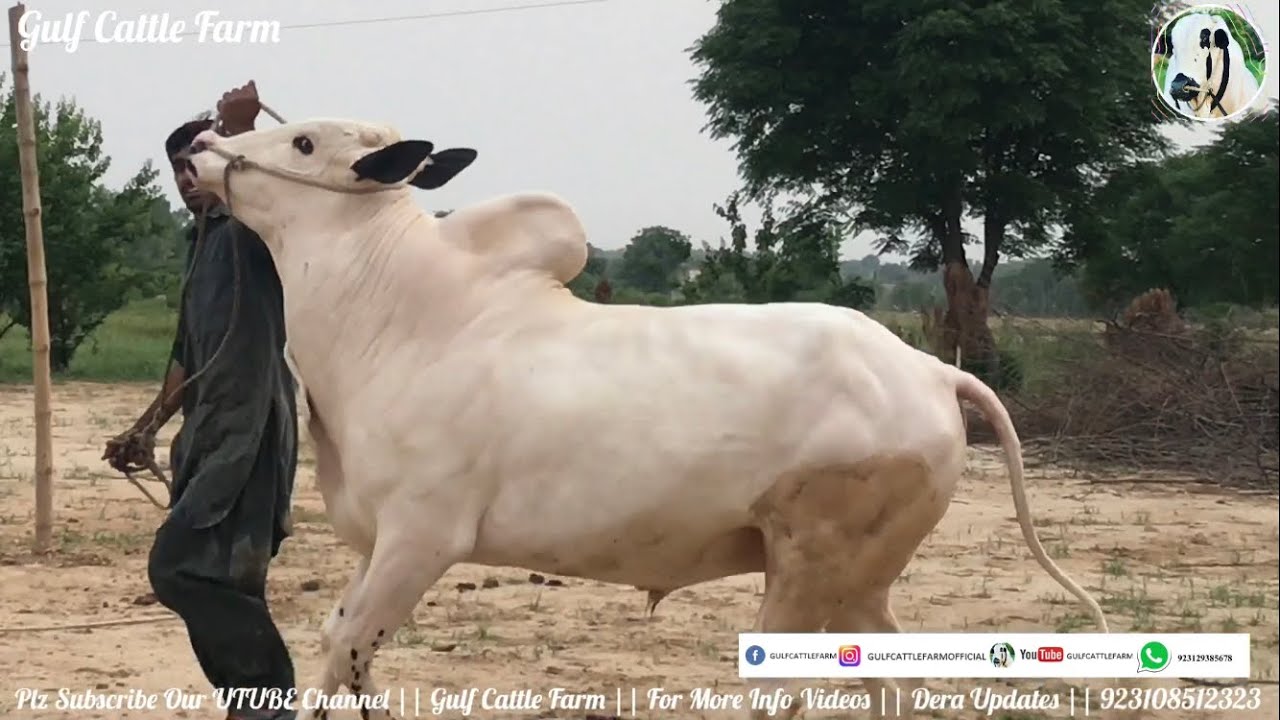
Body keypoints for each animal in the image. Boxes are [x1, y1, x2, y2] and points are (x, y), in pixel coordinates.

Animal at [185, 119, 1108, 720]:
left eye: (305, 143)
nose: (197, 148)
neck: (395, 312)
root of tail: (930, 369)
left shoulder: (421, 539)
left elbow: (342, 648)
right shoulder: (378, 547)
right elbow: (348, 655)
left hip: (811, 565)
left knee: (785, 691)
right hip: (855, 582)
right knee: (893, 681)